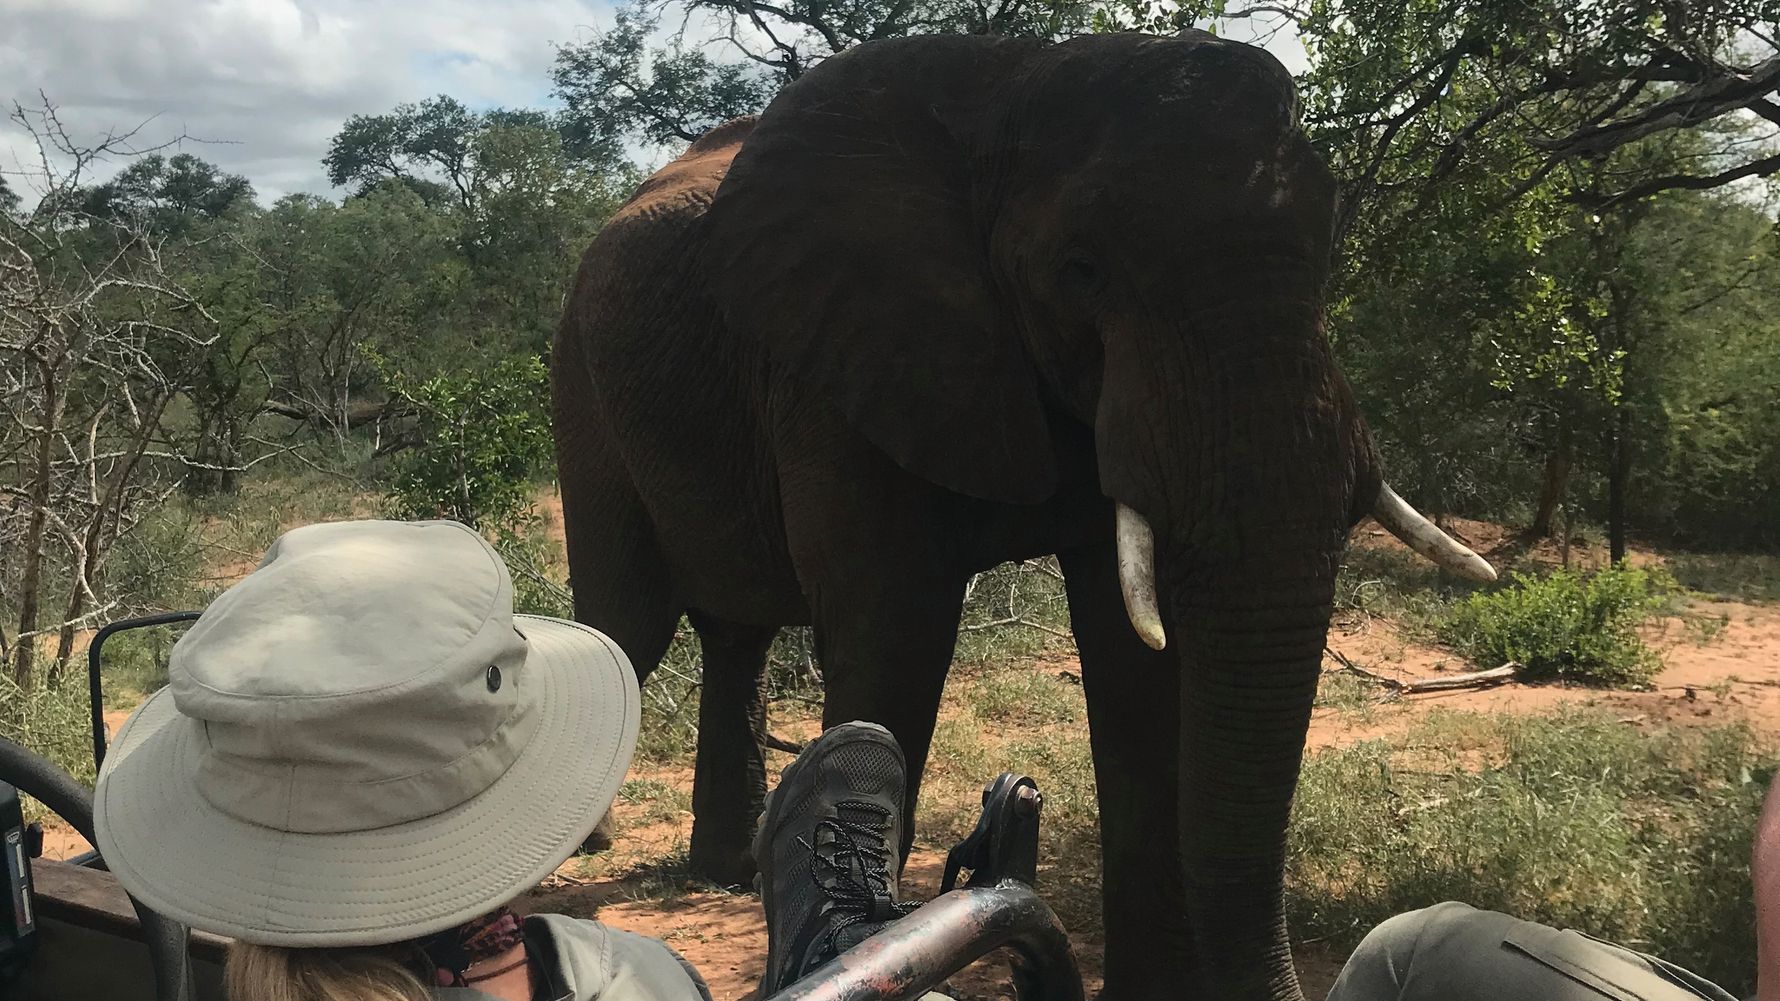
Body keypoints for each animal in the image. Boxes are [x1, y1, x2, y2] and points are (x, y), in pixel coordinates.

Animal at [550, 29, 1495, 1001]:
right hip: (580, 384)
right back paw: (599, 841)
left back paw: (729, 874)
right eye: (1081, 271)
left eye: (1329, 247)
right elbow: (896, 630)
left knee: (734, 635)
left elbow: (1132, 658)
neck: (1011, 85)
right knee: (627, 625)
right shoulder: (838, 358)